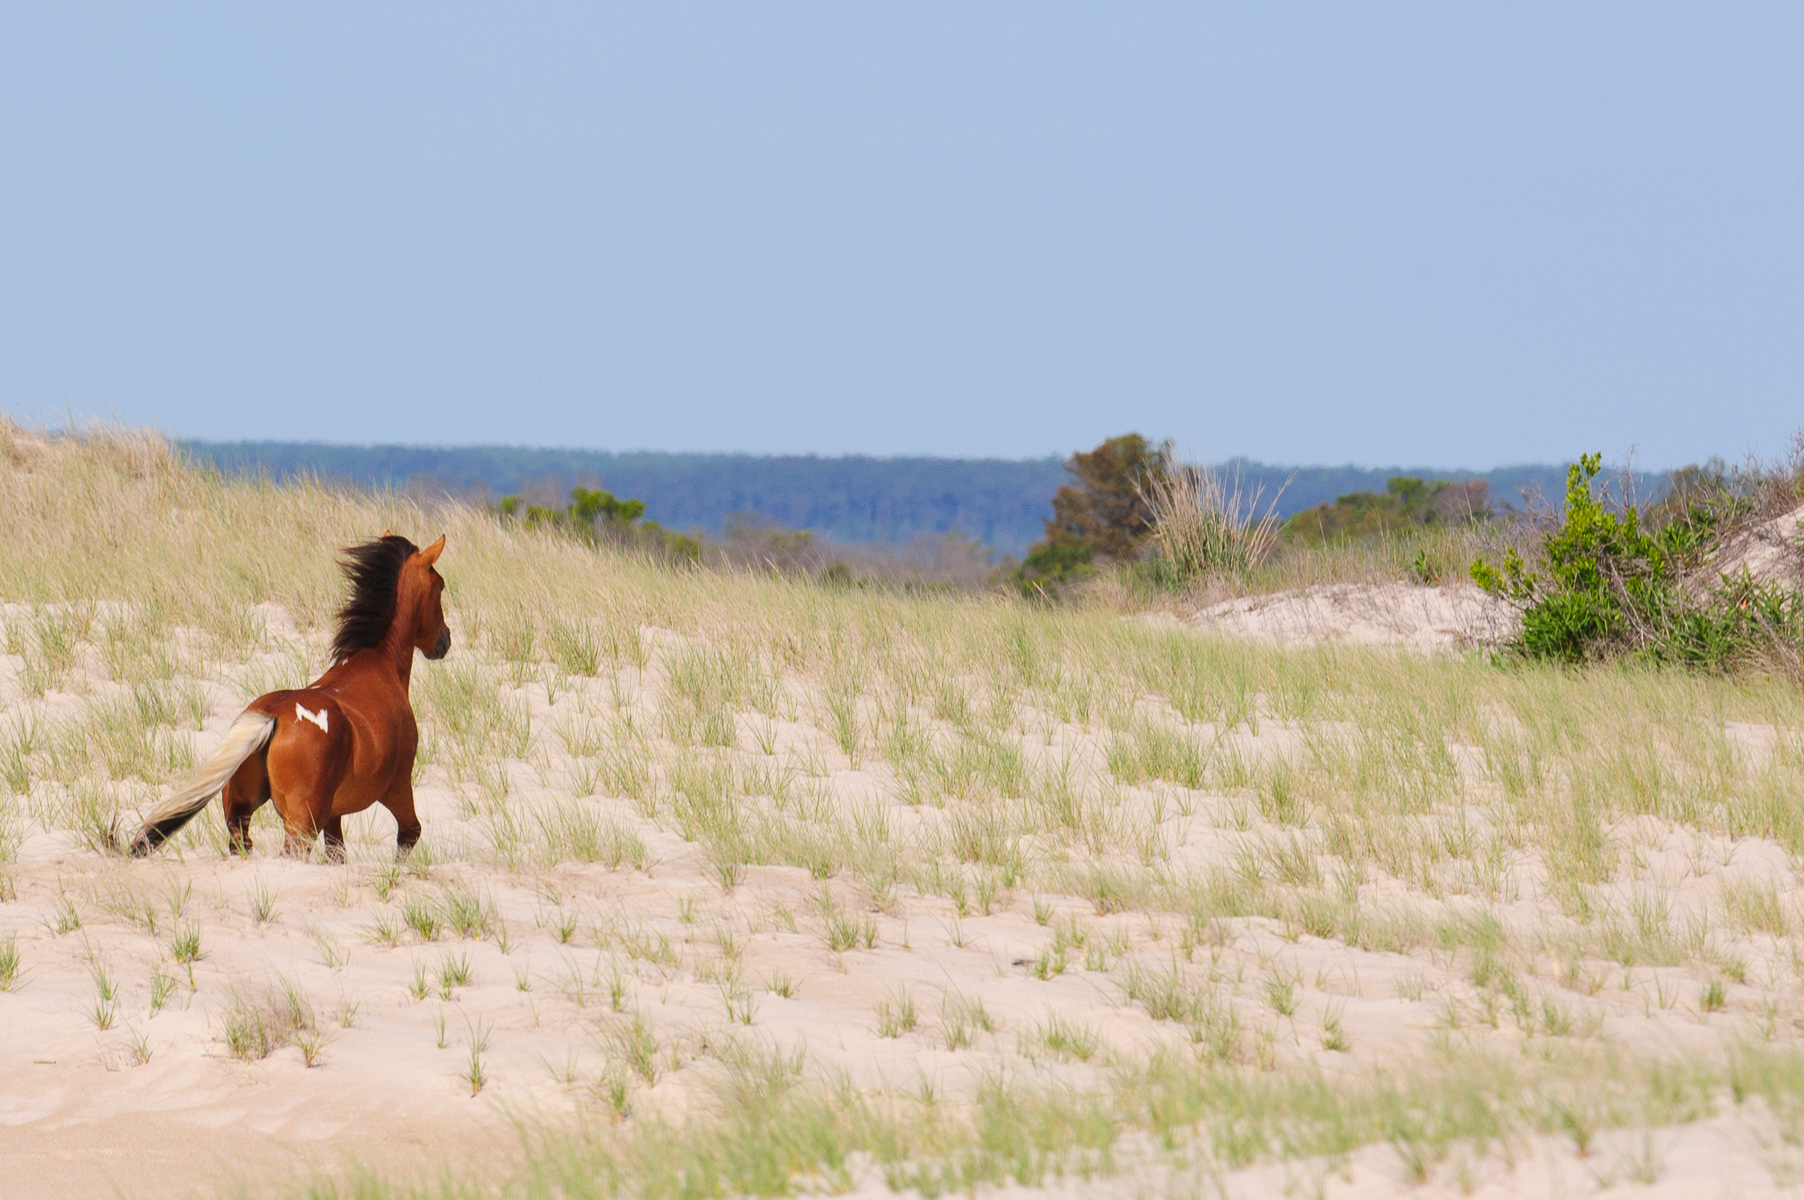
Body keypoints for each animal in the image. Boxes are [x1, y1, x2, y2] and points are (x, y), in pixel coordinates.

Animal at [127, 534, 451, 860]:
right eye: (440, 586)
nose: (445, 640)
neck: (378, 664)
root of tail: (271, 717)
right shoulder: (398, 787)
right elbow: (410, 834)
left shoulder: (335, 814)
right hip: (302, 824)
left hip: (240, 815)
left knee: (243, 845)